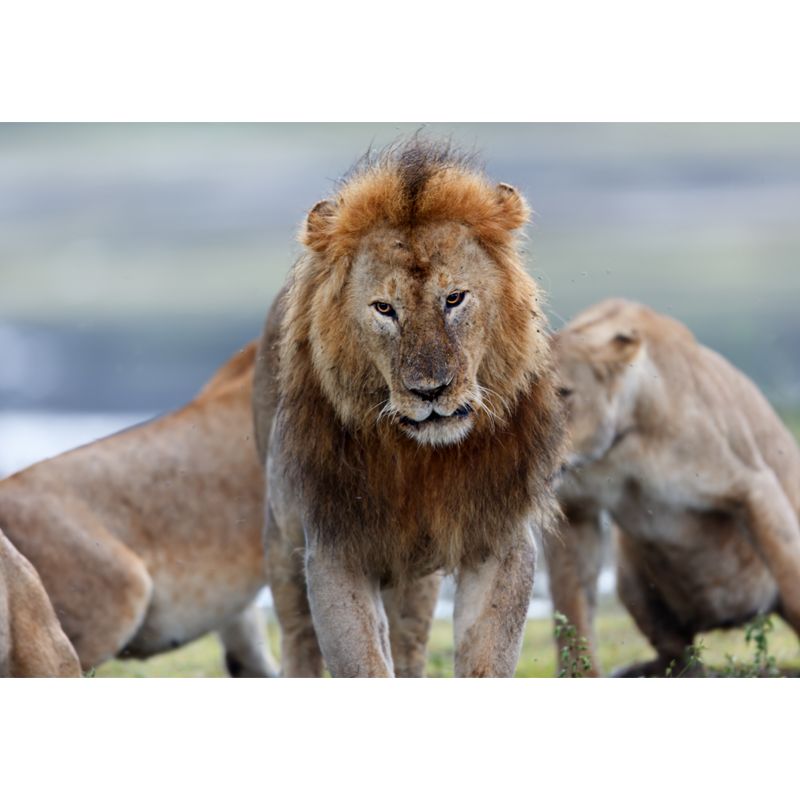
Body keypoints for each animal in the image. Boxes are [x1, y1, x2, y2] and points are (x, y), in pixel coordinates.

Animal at [253, 139, 565, 678]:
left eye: (454, 298)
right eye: (384, 309)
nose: (430, 390)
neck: (422, 459)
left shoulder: (499, 539)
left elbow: (487, 658)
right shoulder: (333, 547)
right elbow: (363, 663)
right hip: (281, 539)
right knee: (296, 636)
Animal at [547, 298, 800, 676]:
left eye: (564, 393)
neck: (621, 444)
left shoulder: (753, 484)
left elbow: (791, 575)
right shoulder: (575, 509)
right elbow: (572, 612)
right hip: (629, 576)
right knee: (679, 654)